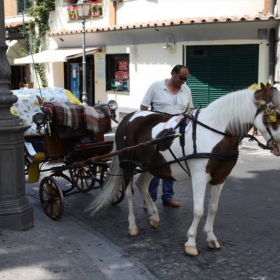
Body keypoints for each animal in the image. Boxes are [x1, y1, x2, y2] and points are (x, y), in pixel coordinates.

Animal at [84, 82, 280, 256]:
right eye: (272, 111)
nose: (279, 146)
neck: (215, 133)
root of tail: (128, 117)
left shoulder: (220, 177)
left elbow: (213, 208)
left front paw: (211, 238)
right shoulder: (200, 177)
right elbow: (199, 210)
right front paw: (191, 242)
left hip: (153, 165)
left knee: (142, 186)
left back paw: (154, 216)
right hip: (128, 164)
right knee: (130, 193)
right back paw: (132, 226)